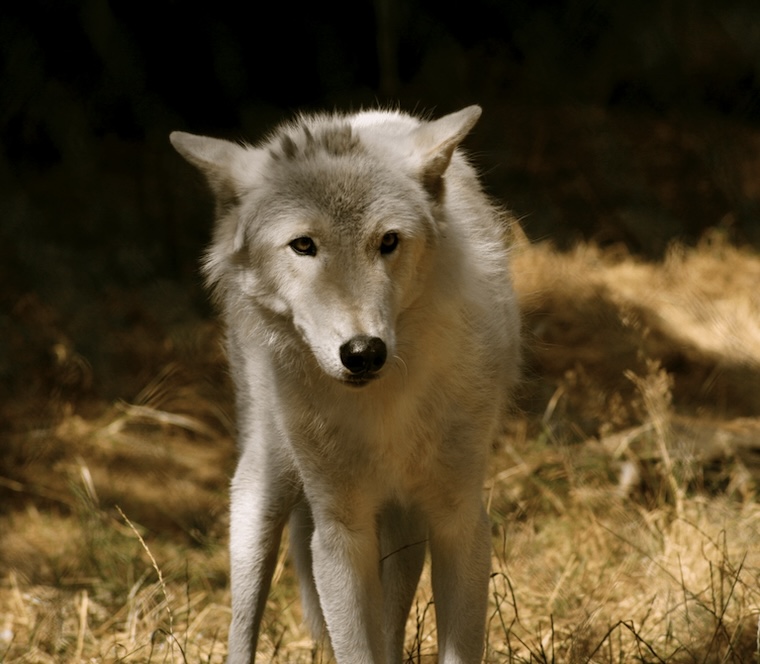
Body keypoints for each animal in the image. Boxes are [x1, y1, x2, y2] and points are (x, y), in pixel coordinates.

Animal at [170, 105, 520, 664]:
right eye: (303, 246)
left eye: (389, 241)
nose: (363, 353)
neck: (385, 404)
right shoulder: (340, 529)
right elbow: (355, 647)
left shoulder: (459, 518)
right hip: (266, 487)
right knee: (244, 621)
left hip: (403, 528)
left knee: (392, 625)